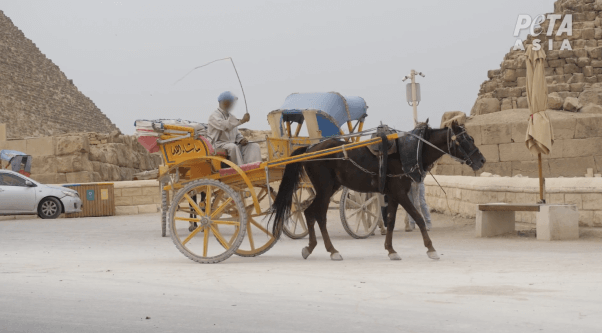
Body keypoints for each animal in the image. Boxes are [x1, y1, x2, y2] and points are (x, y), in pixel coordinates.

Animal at [270, 120, 486, 260]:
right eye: (467, 139)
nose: (482, 160)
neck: (409, 151)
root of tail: (309, 149)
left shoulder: (393, 195)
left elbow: (390, 221)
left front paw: (391, 250)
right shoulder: (400, 193)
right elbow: (418, 217)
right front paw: (431, 248)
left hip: (330, 188)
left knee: (309, 212)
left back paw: (311, 247)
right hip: (324, 188)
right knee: (318, 214)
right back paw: (332, 250)